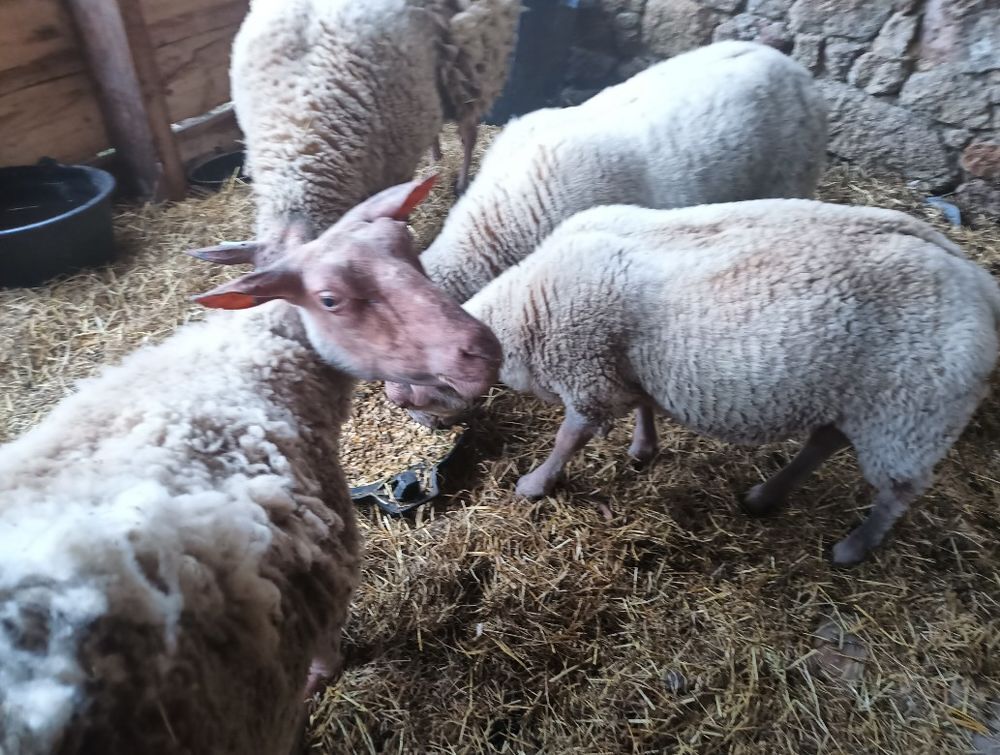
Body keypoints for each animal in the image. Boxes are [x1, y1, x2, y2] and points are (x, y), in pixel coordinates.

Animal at [0, 178, 501, 755]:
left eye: (411, 252)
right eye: (330, 300)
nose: (481, 350)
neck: (253, 357)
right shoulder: (331, 572)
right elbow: (326, 647)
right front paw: (319, 681)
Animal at [385, 199, 1000, 566]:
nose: (420, 425)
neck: (521, 314)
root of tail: (977, 279)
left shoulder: (587, 375)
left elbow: (568, 438)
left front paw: (536, 485)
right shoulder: (624, 369)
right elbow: (643, 406)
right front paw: (642, 449)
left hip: (910, 413)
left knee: (897, 491)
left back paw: (853, 547)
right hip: (857, 401)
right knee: (825, 440)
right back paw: (766, 495)